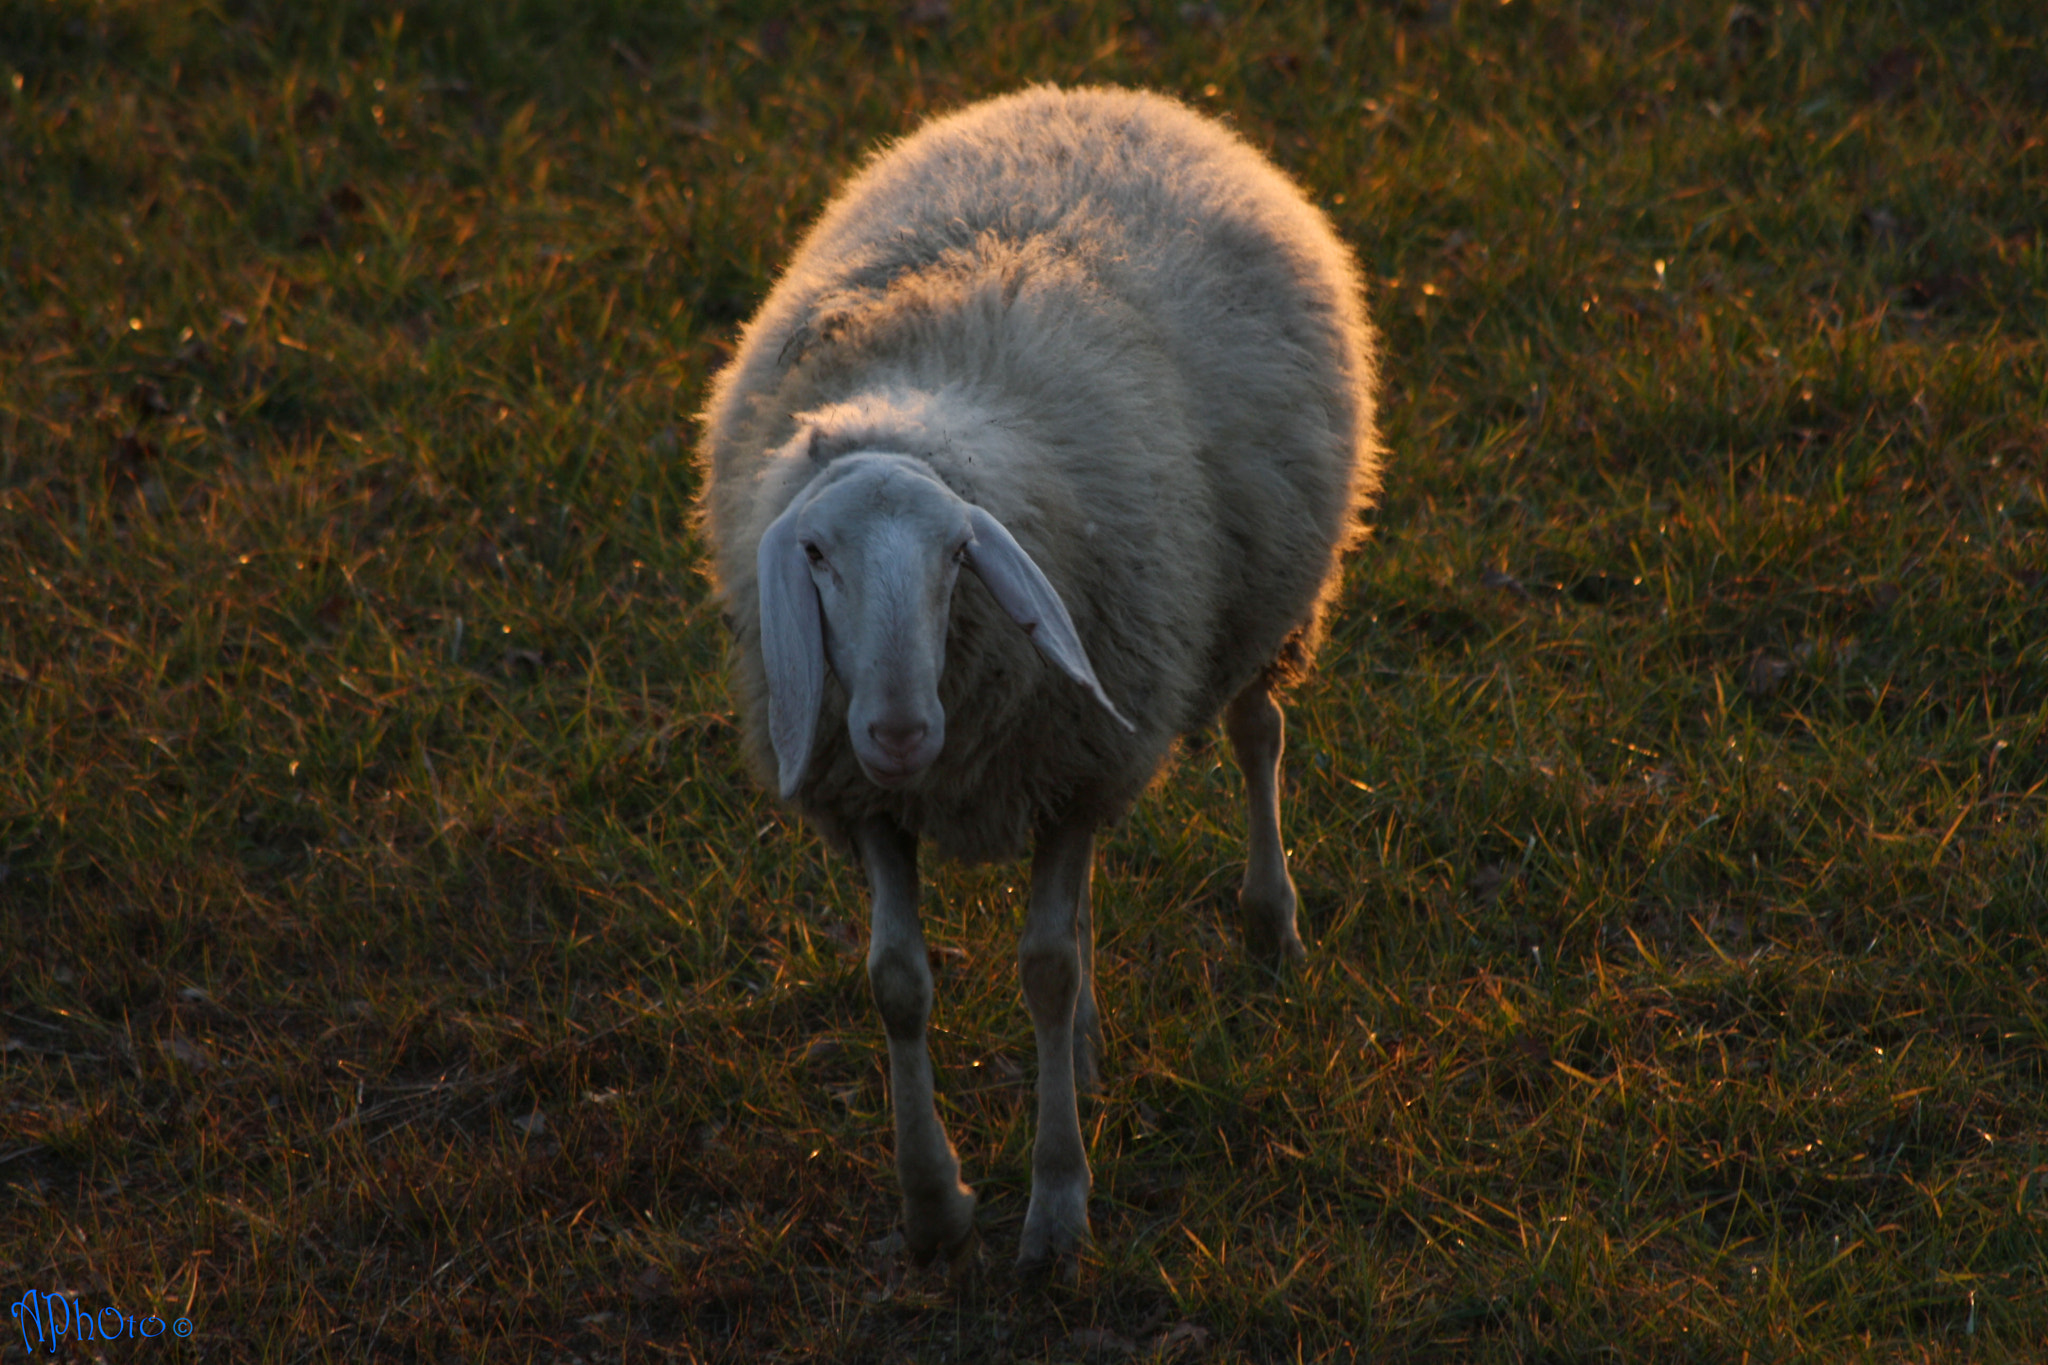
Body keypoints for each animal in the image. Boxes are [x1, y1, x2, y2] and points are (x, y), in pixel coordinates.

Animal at [694, 84, 1380, 1268]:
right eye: (814, 554)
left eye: (957, 556)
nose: (897, 731)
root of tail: (1109, 95)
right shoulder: (878, 799)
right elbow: (897, 986)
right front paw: (932, 1203)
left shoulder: (1076, 759)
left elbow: (1045, 972)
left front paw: (1058, 1206)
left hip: (1261, 608)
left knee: (1258, 736)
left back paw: (1268, 922)